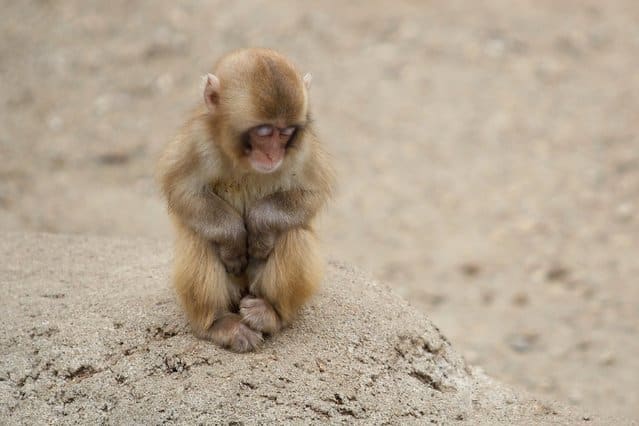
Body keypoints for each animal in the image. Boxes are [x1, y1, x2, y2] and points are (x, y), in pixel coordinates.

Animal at [159, 48, 336, 352]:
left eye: (286, 132)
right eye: (264, 132)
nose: (273, 155)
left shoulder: (303, 149)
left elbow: (311, 192)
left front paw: (259, 228)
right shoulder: (197, 140)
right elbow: (182, 189)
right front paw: (233, 240)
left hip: (255, 284)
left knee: (294, 234)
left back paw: (271, 314)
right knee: (198, 238)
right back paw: (218, 324)